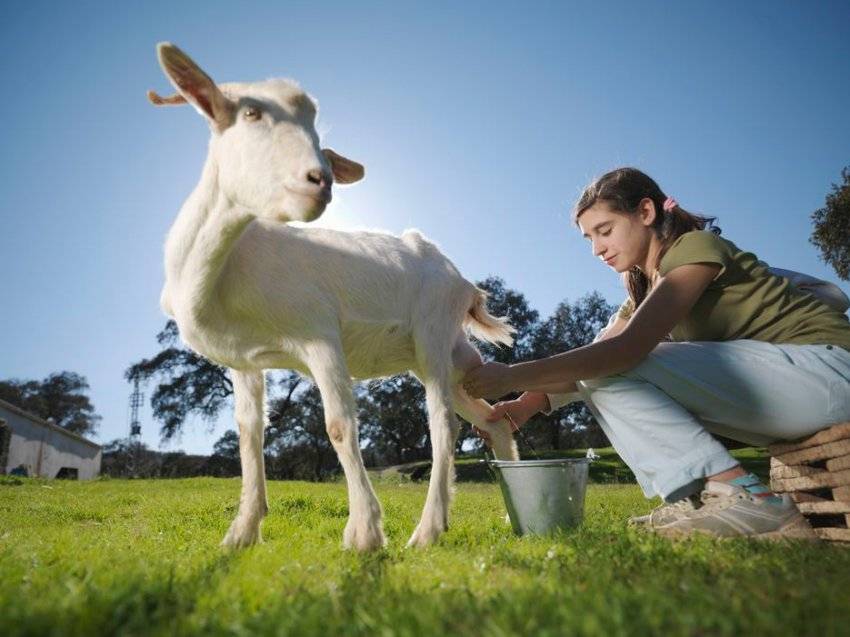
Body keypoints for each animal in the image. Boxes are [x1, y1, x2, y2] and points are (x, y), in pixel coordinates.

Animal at [148, 42, 516, 548]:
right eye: (250, 112)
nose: (318, 180)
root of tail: (462, 281)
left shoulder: (319, 335)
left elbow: (339, 426)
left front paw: (364, 533)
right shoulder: (244, 362)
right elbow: (249, 435)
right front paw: (241, 533)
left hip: (433, 333)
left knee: (444, 423)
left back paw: (427, 530)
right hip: (451, 356)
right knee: (492, 416)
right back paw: (513, 516)